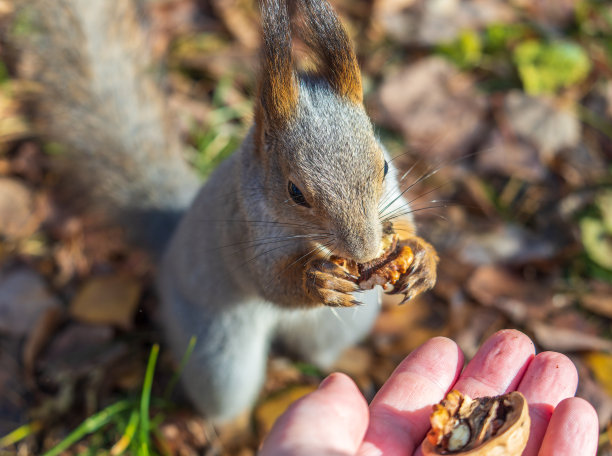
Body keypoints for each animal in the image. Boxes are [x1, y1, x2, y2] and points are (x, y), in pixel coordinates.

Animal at [11, 0, 438, 422]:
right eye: (295, 192)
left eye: (384, 167)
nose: (364, 252)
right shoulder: (244, 226)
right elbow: (271, 281)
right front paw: (316, 280)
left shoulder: (393, 198)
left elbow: (405, 220)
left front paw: (420, 258)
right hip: (218, 352)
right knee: (223, 394)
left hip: (344, 323)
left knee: (319, 350)